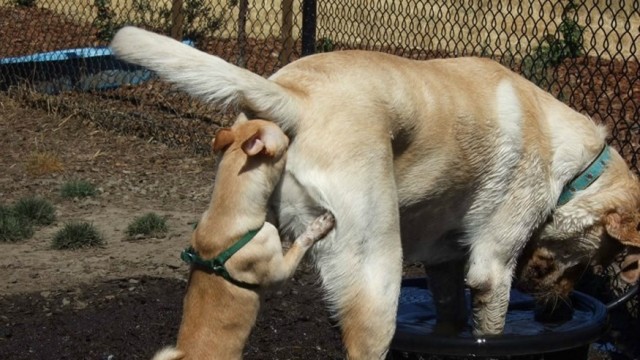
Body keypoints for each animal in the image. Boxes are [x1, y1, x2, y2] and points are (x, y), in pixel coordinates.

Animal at [154, 119, 336, 358]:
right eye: (286, 140)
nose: (293, 131)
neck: (226, 214)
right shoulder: (280, 273)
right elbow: (300, 242)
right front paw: (318, 226)